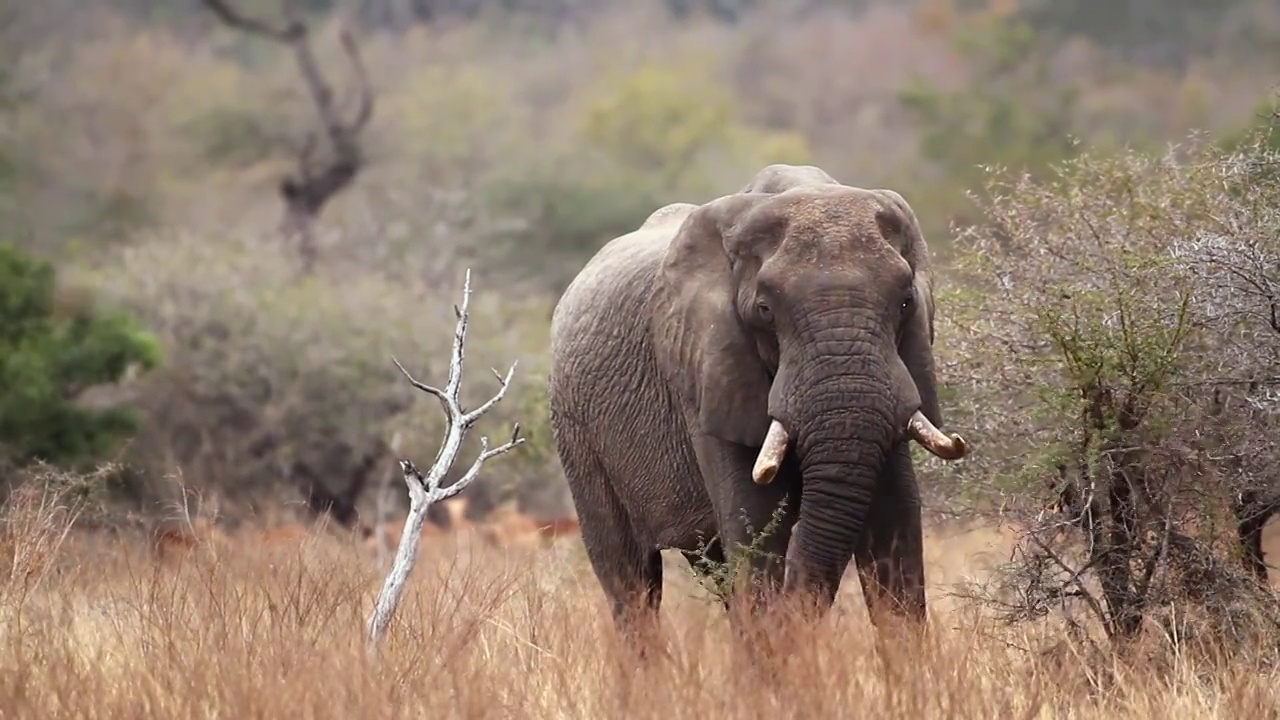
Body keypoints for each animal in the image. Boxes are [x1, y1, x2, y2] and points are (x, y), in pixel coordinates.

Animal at [542, 163, 967, 645]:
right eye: (764, 310)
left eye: (906, 302)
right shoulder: (706, 372)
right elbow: (755, 526)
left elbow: (894, 526)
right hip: (574, 430)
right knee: (631, 580)